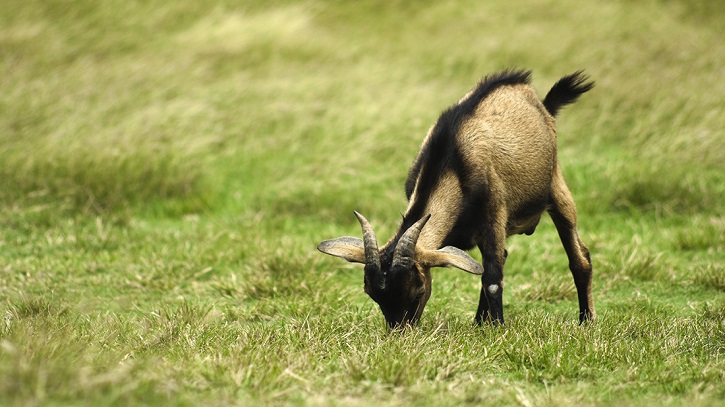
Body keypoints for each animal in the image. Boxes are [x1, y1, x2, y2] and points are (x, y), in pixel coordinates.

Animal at [316, 70, 592, 330]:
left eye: (418, 291)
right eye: (372, 295)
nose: (400, 333)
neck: (451, 160)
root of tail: (540, 102)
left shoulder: (494, 213)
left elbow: (492, 278)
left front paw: (499, 328)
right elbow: (485, 267)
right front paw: (485, 324)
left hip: (556, 188)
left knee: (579, 258)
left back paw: (586, 321)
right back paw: (479, 322)